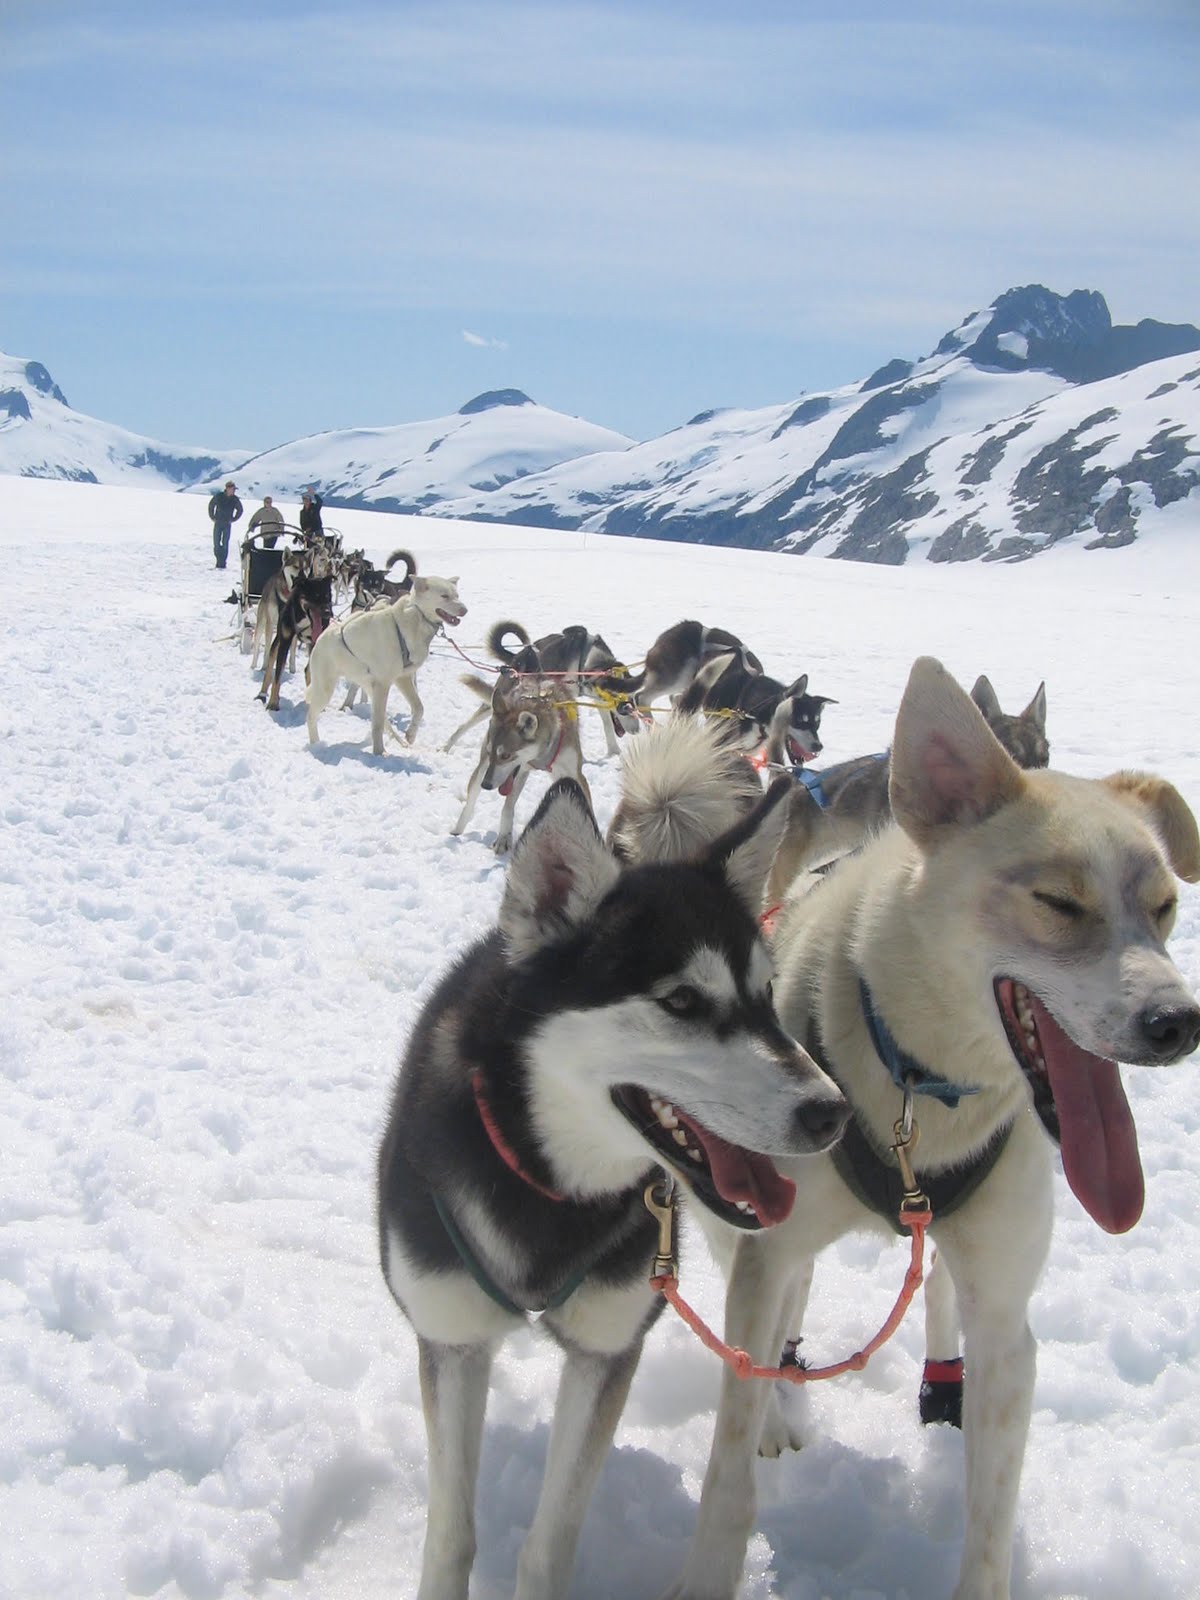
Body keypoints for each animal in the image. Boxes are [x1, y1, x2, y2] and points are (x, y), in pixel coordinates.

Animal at [258, 570, 334, 711]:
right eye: (315, 596)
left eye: (328, 597)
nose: (328, 613)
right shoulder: (285, 642)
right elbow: (277, 676)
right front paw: (273, 702)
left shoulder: (315, 643)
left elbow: (309, 671)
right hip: (278, 640)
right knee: (270, 665)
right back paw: (262, 693)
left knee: (308, 670)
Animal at [305, 574, 466, 754]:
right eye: (444, 596)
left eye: (457, 595)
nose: (464, 610)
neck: (414, 619)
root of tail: (320, 638)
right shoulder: (384, 683)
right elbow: (377, 724)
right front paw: (379, 752)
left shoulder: (402, 678)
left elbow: (419, 708)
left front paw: (410, 735)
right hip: (327, 690)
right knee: (311, 716)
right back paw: (315, 744)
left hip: (369, 685)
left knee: (384, 719)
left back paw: (400, 741)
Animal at [377, 773, 849, 1600]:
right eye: (682, 1002)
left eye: (765, 996)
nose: (833, 1112)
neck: (546, 1183)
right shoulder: (453, 1341)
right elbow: (452, 1537)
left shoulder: (606, 1353)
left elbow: (549, 1542)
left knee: (773, 1311)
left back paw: (772, 1406)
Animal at [447, 664, 592, 854]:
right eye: (491, 752)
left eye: (505, 755)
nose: (486, 785)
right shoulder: (515, 773)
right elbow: (506, 808)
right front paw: (503, 838)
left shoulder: (574, 774)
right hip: (486, 770)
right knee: (473, 801)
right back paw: (459, 830)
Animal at [489, 619, 642, 756]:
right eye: (622, 706)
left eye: (633, 700)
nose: (637, 730)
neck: (585, 660)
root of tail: (517, 657)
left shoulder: (596, 698)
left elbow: (608, 724)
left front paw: (614, 751)